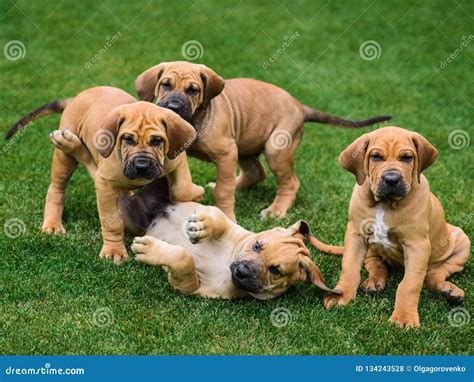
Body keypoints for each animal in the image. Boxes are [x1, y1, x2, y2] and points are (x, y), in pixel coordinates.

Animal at [6, 86, 204, 266]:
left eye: (157, 141)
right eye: (127, 139)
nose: (141, 166)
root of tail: (76, 98)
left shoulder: (178, 160)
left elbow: (182, 189)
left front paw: (195, 191)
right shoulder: (105, 186)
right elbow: (112, 223)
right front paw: (113, 251)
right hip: (64, 160)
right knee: (57, 187)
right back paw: (53, 222)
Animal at [134, 60, 392, 221]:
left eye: (193, 90)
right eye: (165, 84)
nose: (173, 107)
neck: (197, 118)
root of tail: (300, 107)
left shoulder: (226, 153)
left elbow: (224, 192)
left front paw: (226, 215)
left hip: (275, 148)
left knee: (289, 182)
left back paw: (276, 211)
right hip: (246, 146)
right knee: (255, 173)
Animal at [312, 126, 470, 328]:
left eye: (407, 157)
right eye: (376, 156)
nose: (392, 179)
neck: (385, 203)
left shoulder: (417, 246)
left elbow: (409, 284)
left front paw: (404, 317)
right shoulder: (355, 235)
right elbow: (350, 267)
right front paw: (342, 294)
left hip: (462, 240)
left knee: (433, 274)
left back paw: (449, 291)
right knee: (376, 264)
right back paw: (374, 282)